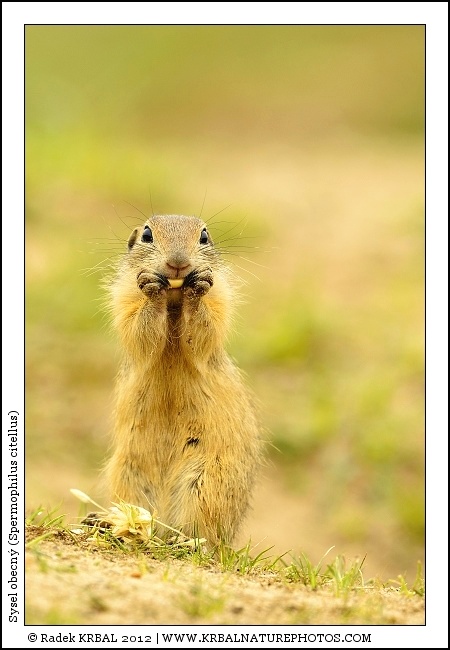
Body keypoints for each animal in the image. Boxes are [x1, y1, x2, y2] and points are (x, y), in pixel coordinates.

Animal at [104, 214, 261, 547]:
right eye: (147, 235)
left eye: (204, 236)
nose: (178, 263)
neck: (174, 302)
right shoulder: (123, 299)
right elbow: (138, 328)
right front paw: (151, 289)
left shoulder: (220, 299)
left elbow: (205, 327)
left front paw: (197, 288)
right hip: (127, 474)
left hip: (208, 481)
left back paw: (186, 543)